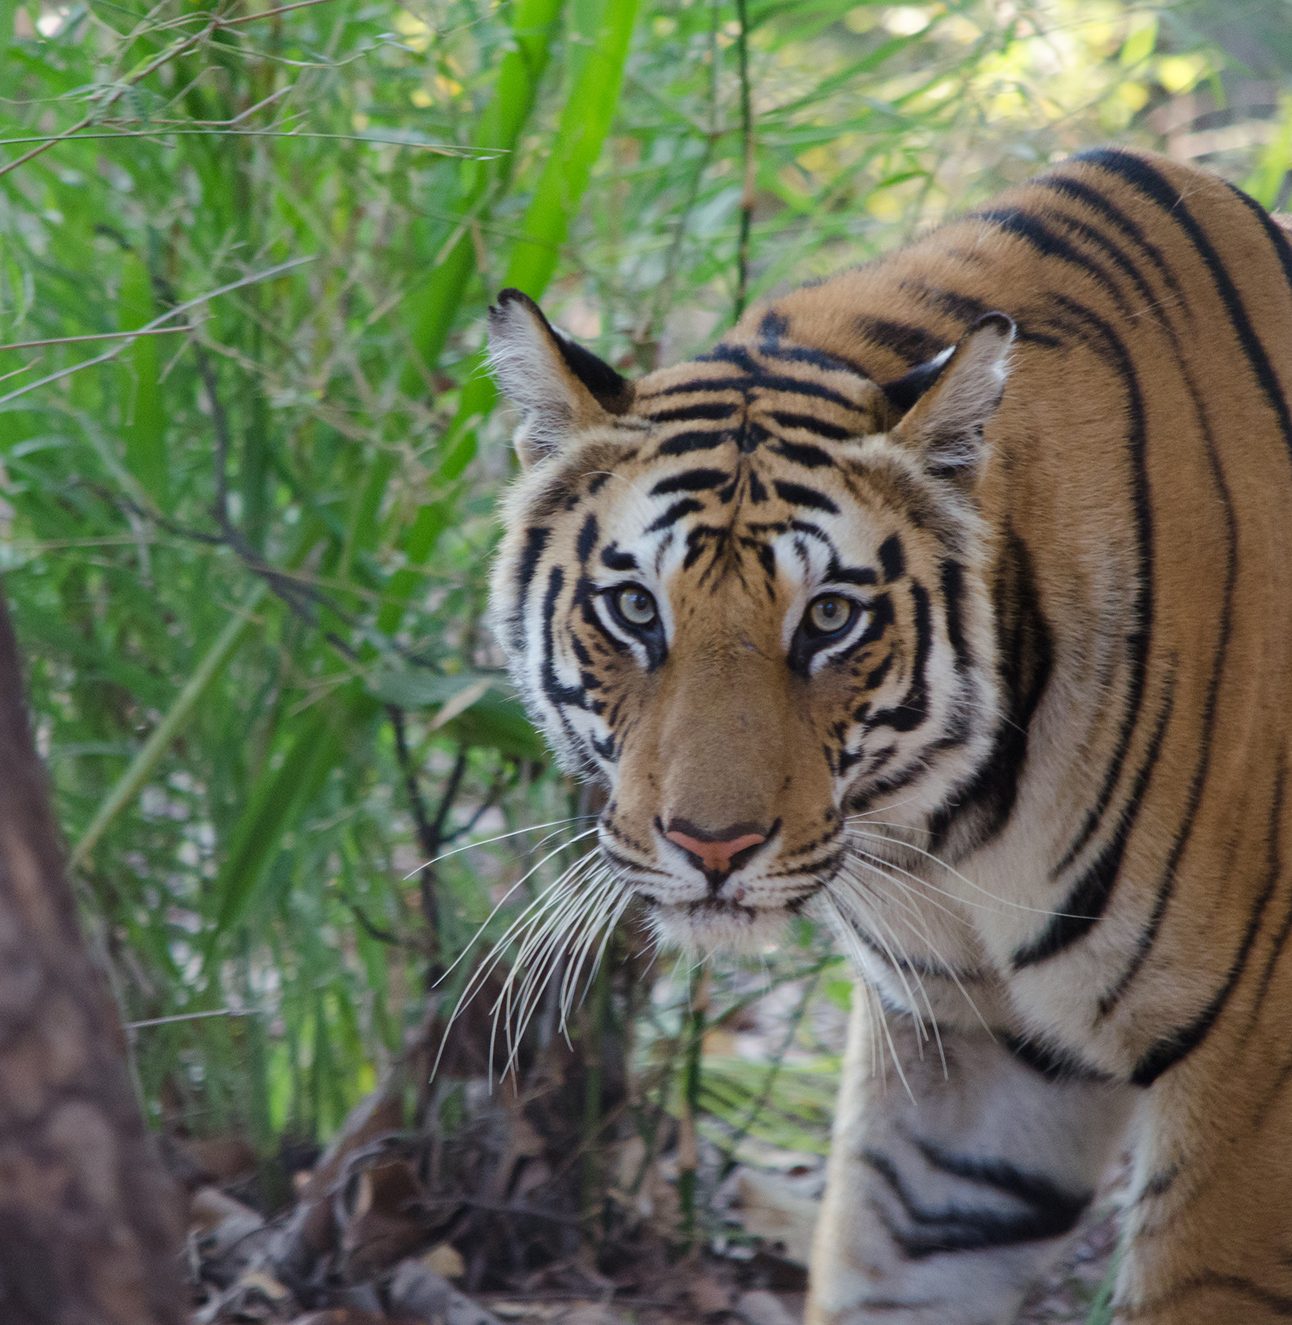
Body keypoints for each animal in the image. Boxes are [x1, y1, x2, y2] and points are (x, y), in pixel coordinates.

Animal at [479, 147, 1292, 1325]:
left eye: (828, 618)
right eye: (634, 608)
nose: (711, 847)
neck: (950, 830)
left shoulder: (1250, 1079)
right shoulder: (973, 1054)